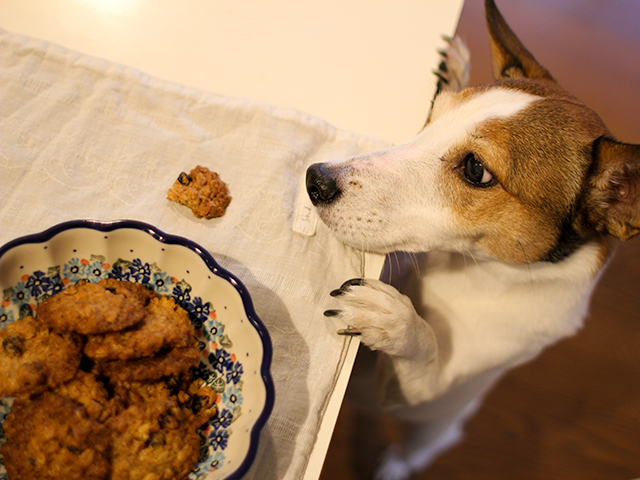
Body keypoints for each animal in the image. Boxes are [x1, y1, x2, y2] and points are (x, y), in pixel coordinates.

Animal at [304, 1, 640, 478]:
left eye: (476, 170)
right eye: (433, 118)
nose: (315, 180)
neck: (465, 270)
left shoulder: (412, 395)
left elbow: (425, 350)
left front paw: (395, 319)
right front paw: (454, 71)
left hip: (436, 427)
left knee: (415, 452)